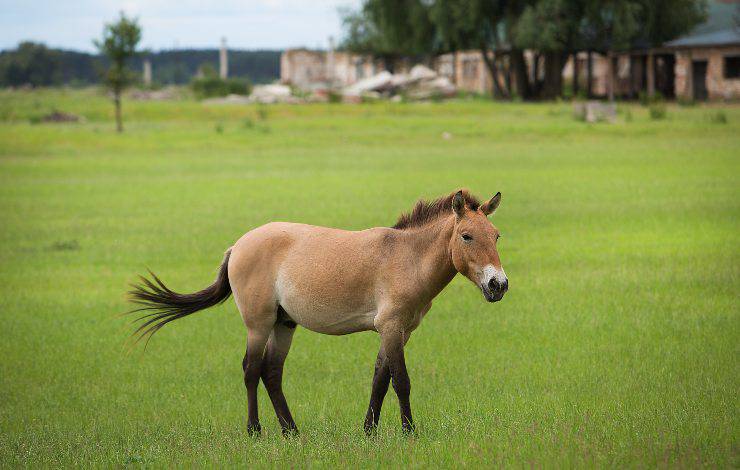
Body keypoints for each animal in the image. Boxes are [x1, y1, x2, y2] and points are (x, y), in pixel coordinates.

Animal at [129, 189, 508, 436]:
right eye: (467, 236)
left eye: (496, 235)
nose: (498, 285)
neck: (405, 258)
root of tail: (238, 245)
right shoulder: (391, 327)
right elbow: (401, 381)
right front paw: (409, 432)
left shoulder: (400, 331)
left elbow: (379, 379)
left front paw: (369, 432)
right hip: (258, 324)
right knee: (251, 370)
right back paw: (255, 430)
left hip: (284, 324)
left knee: (271, 372)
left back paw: (291, 432)